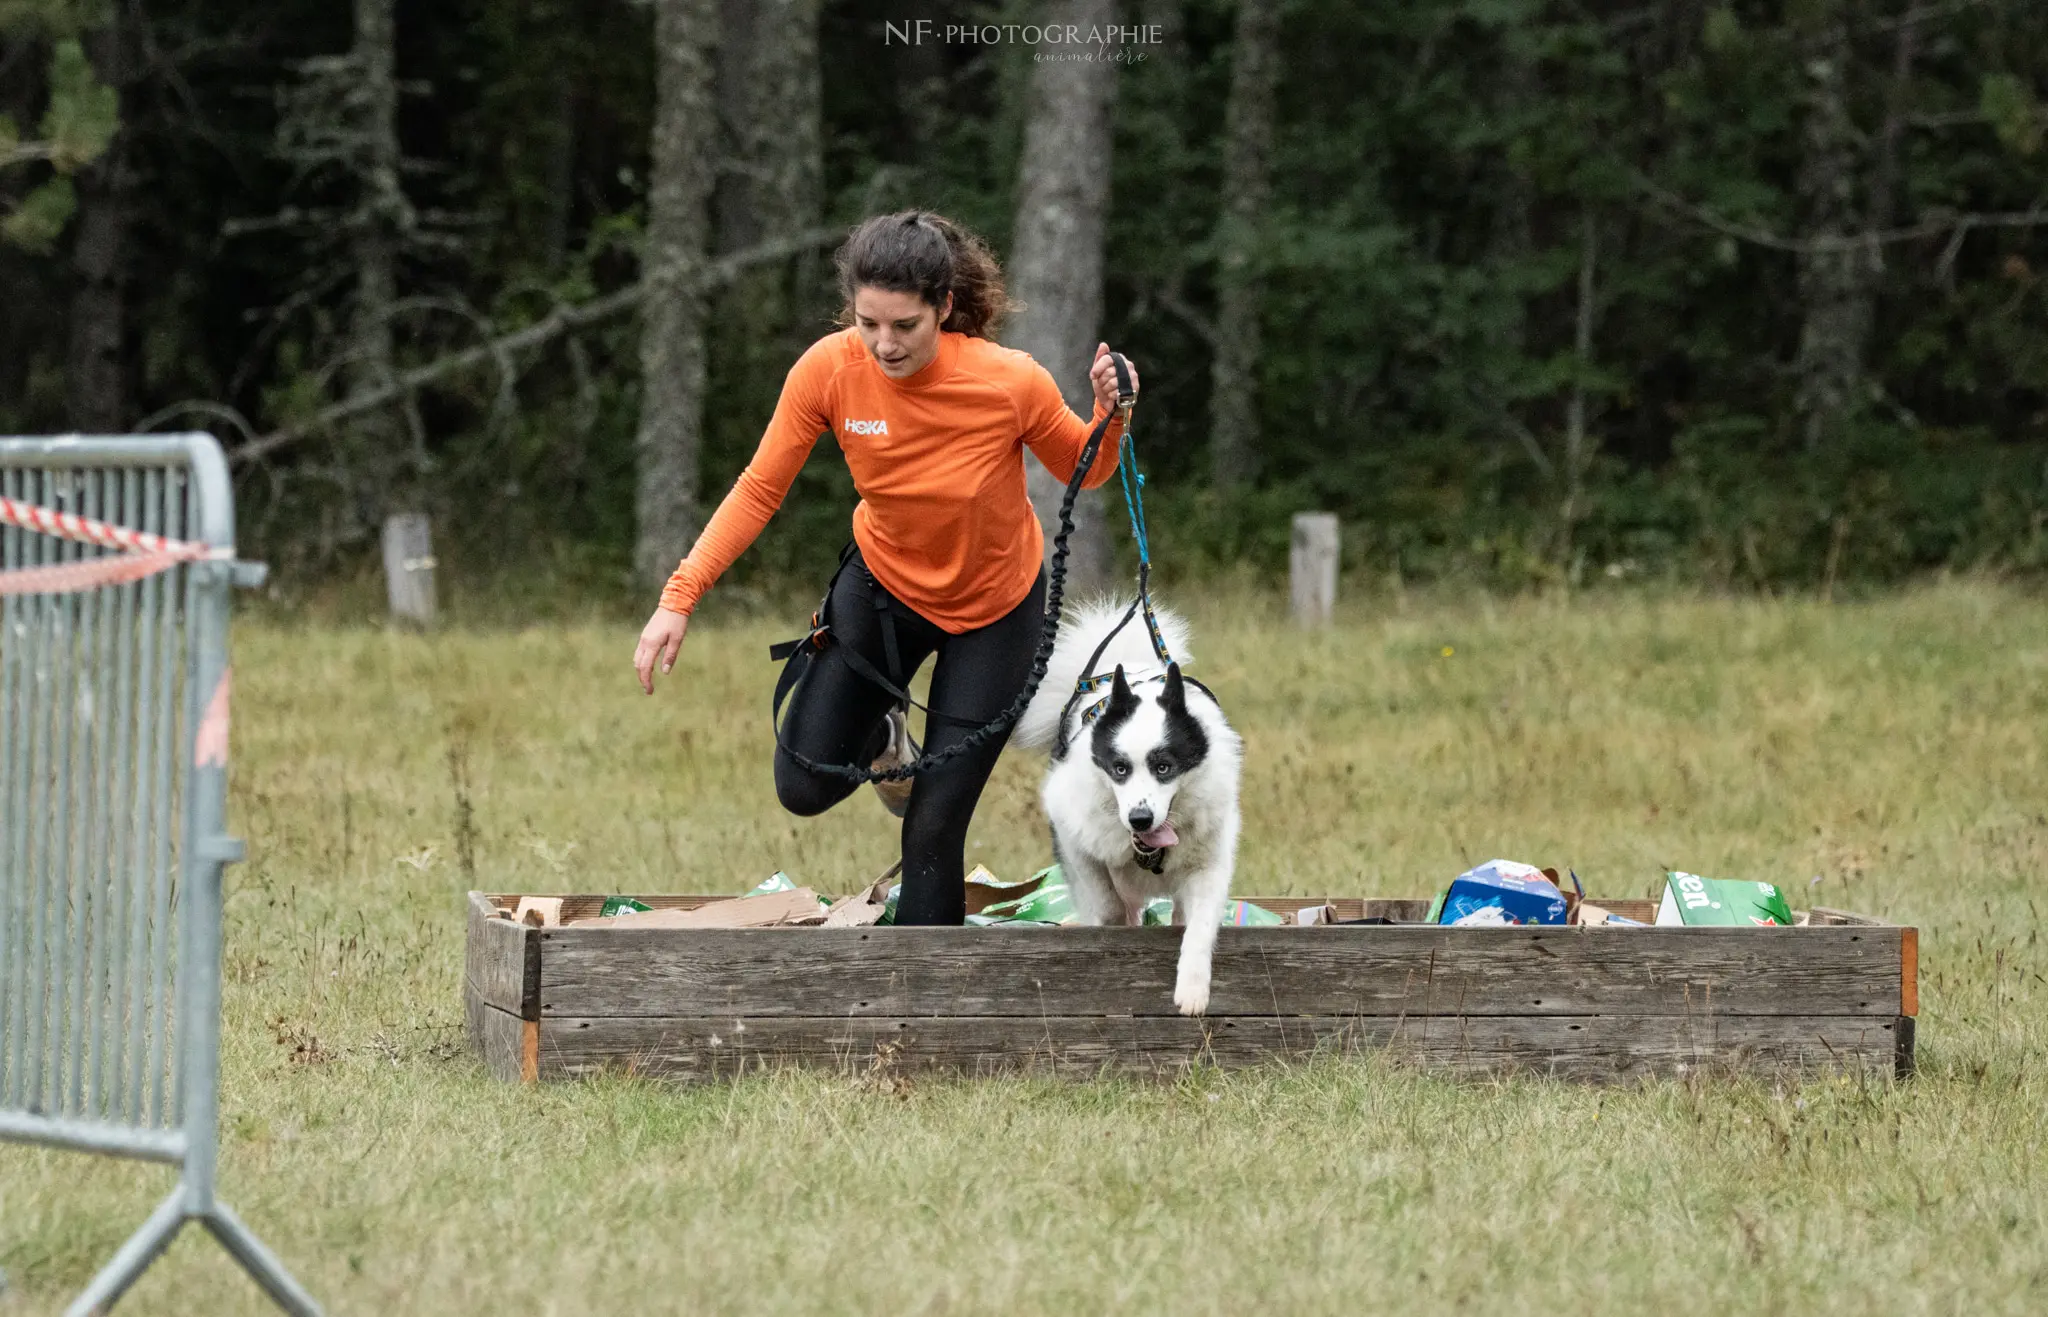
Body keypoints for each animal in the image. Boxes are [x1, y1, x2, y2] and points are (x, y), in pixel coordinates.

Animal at [1011, 602, 1236, 1020]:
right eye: (1119, 768)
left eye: (1164, 766)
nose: (1140, 819)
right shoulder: (1073, 833)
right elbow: (1107, 903)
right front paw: (1120, 930)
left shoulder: (1209, 861)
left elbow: (1198, 926)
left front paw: (1193, 990)